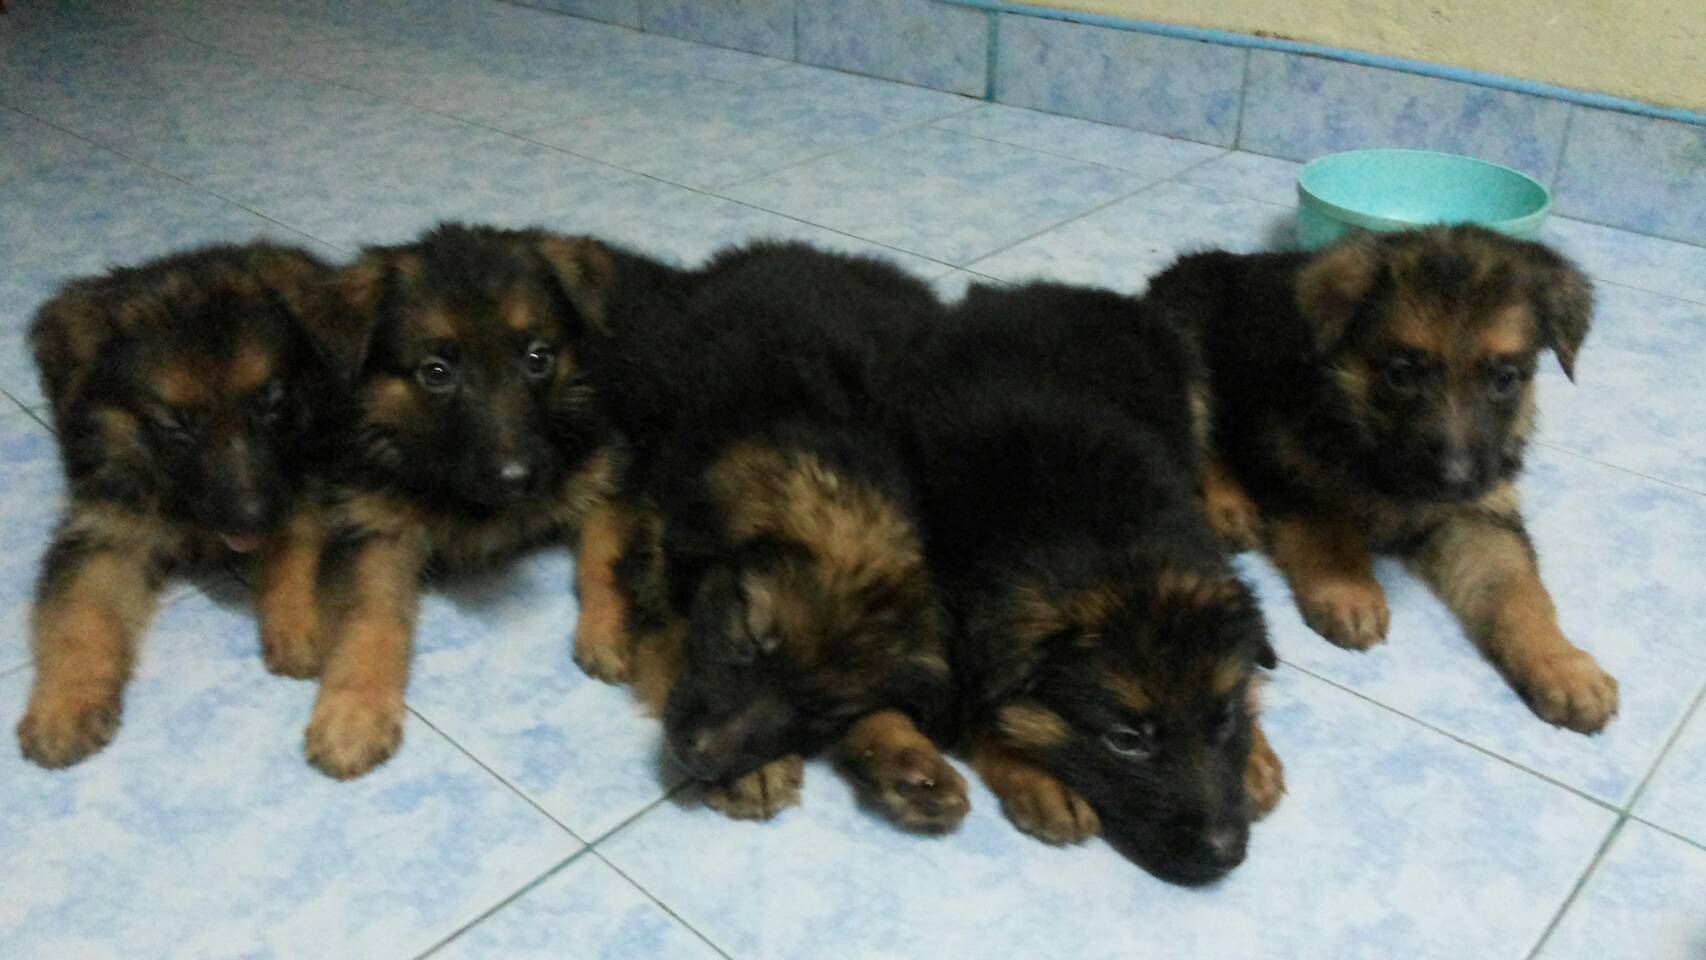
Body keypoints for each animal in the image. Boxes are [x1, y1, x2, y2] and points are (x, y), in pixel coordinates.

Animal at [19, 242, 337, 767]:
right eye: (175, 425)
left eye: (272, 403)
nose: (253, 520)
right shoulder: (105, 526)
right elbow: (78, 612)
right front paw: (64, 705)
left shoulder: (302, 482)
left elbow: (298, 549)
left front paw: (297, 623)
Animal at [299, 222, 620, 779]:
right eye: (436, 372)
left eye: (538, 358)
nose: (517, 479)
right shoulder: (375, 525)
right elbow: (371, 619)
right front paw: (353, 712)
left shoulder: (603, 474)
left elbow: (603, 561)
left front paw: (610, 629)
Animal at [590, 243, 967, 830]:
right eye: (749, 636)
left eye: (821, 709)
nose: (704, 759)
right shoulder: (659, 550)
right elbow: (676, 636)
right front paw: (756, 773)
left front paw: (902, 752)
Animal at [890, 283, 1282, 885]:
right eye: (1125, 741)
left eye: (1223, 718)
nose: (1226, 856)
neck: (1112, 547)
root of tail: (1038, 290)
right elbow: (979, 714)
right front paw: (1037, 779)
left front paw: (1255, 754)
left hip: (1187, 383)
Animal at [1145, 225, 1616, 733]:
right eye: (1401, 373)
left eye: (1506, 378)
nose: (1455, 479)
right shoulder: (1288, 462)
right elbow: (1328, 529)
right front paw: (1350, 594)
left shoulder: (1480, 517)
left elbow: (1520, 591)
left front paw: (1563, 667)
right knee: (1200, 442)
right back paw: (1228, 508)